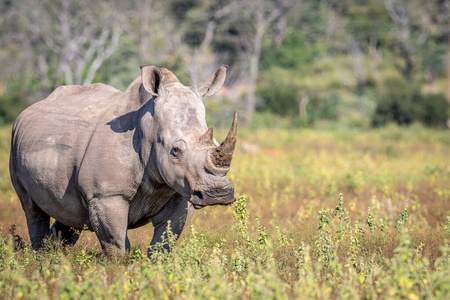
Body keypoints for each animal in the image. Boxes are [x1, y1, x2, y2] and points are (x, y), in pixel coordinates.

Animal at [8, 64, 237, 256]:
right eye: (176, 150)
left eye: (216, 142)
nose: (218, 194)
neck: (148, 127)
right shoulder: (106, 195)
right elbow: (117, 246)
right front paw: (118, 272)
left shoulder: (183, 193)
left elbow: (163, 243)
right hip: (15, 142)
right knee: (32, 209)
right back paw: (40, 256)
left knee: (69, 215)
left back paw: (55, 255)